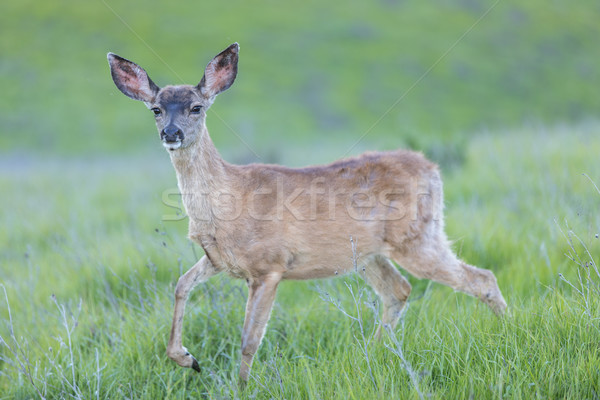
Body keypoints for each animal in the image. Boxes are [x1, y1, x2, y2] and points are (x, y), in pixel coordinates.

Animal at [108, 42, 506, 382]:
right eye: (156, 109)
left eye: (196, 107)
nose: (171, 133)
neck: (228, 201)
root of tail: (432, 168)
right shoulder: (220, 259)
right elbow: (180, 285)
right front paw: (188, 359)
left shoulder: (269, 266)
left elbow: (249, 338)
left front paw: (241, 386)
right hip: (371, 254)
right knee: (400, 290)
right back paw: (369, 355)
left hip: (417, 237)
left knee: (481, 278)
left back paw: (505, 334)